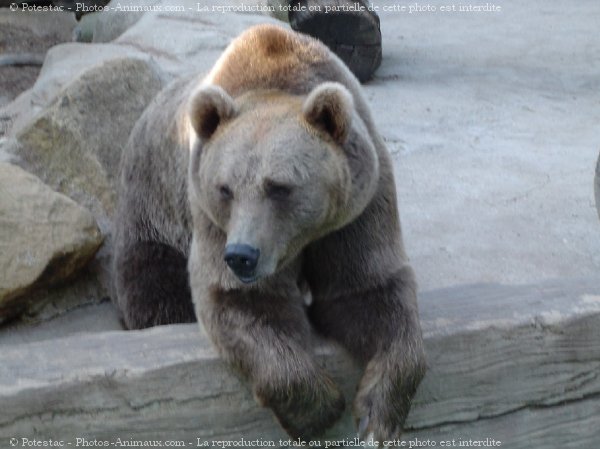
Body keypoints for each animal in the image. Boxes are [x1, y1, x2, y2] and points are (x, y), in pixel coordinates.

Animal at [113, 24, 426, 440]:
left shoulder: (359, 208)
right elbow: (244, 303)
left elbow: (367, 289)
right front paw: (321, 408)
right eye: (225, 188)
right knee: (155, 291)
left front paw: (377, 415)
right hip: (152, 211)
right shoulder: (211, 219)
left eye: (279, 187)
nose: (241, 256)